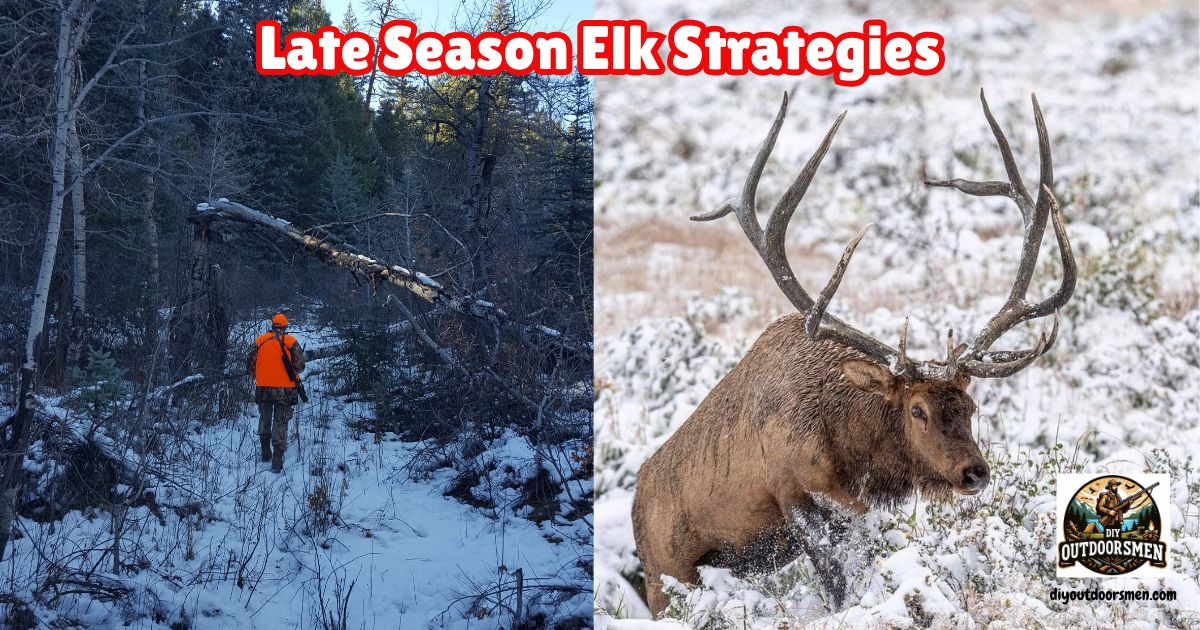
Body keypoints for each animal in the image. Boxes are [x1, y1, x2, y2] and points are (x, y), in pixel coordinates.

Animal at [630, 89, 1076, 616]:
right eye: (917, 410)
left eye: (971, 407)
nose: (974, 472)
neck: (851, 448)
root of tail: (636, 502)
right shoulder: (795, 491)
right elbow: (838, 585)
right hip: (665, 575)